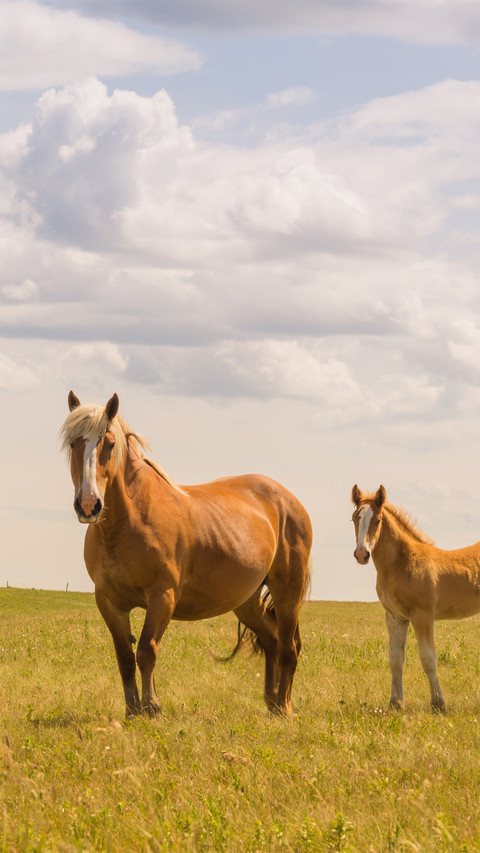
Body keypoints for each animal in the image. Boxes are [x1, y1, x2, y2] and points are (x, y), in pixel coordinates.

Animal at [60, 392, 312, 718]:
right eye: (73, 443)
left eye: (110, 444)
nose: (89, 504)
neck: (130, 521)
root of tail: (288, 500)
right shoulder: (109, 601)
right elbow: (125, 657)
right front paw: (132, 711)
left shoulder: (162, 596)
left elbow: (146, 651)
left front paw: (152, 707)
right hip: (245, 600)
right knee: (271, 640)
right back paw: (270, 702)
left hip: (287, 593)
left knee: (288, 648)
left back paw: (284, 707)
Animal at [351, 484, 480, 711]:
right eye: (354, 519)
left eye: (378, 520)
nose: (361, 554)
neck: (404, 564)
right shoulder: (396, 617)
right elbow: (395, 658)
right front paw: (396, 702)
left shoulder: (423, 615)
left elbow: (428, 658)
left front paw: (438, 703)